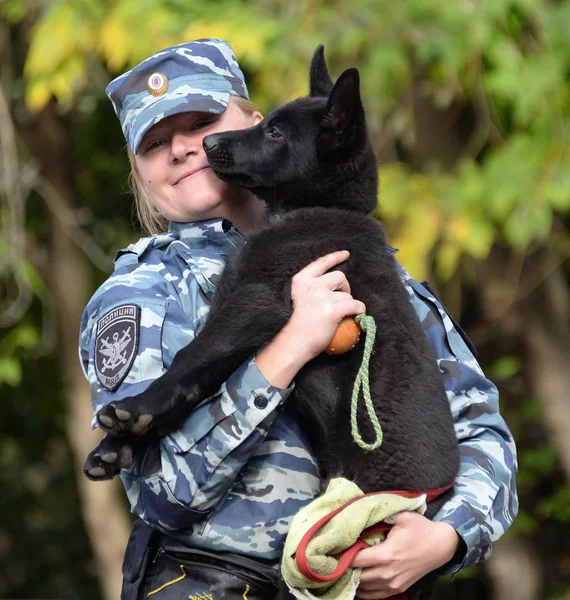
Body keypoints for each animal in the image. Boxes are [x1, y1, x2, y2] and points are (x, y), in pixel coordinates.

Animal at [85, 47, 458, 600]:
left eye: (276, 132)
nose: (207, 144)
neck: (315, 209)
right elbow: (196, 379)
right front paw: (118, 445)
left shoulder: (257, 303)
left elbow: (190, 360)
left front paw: (135, 411)